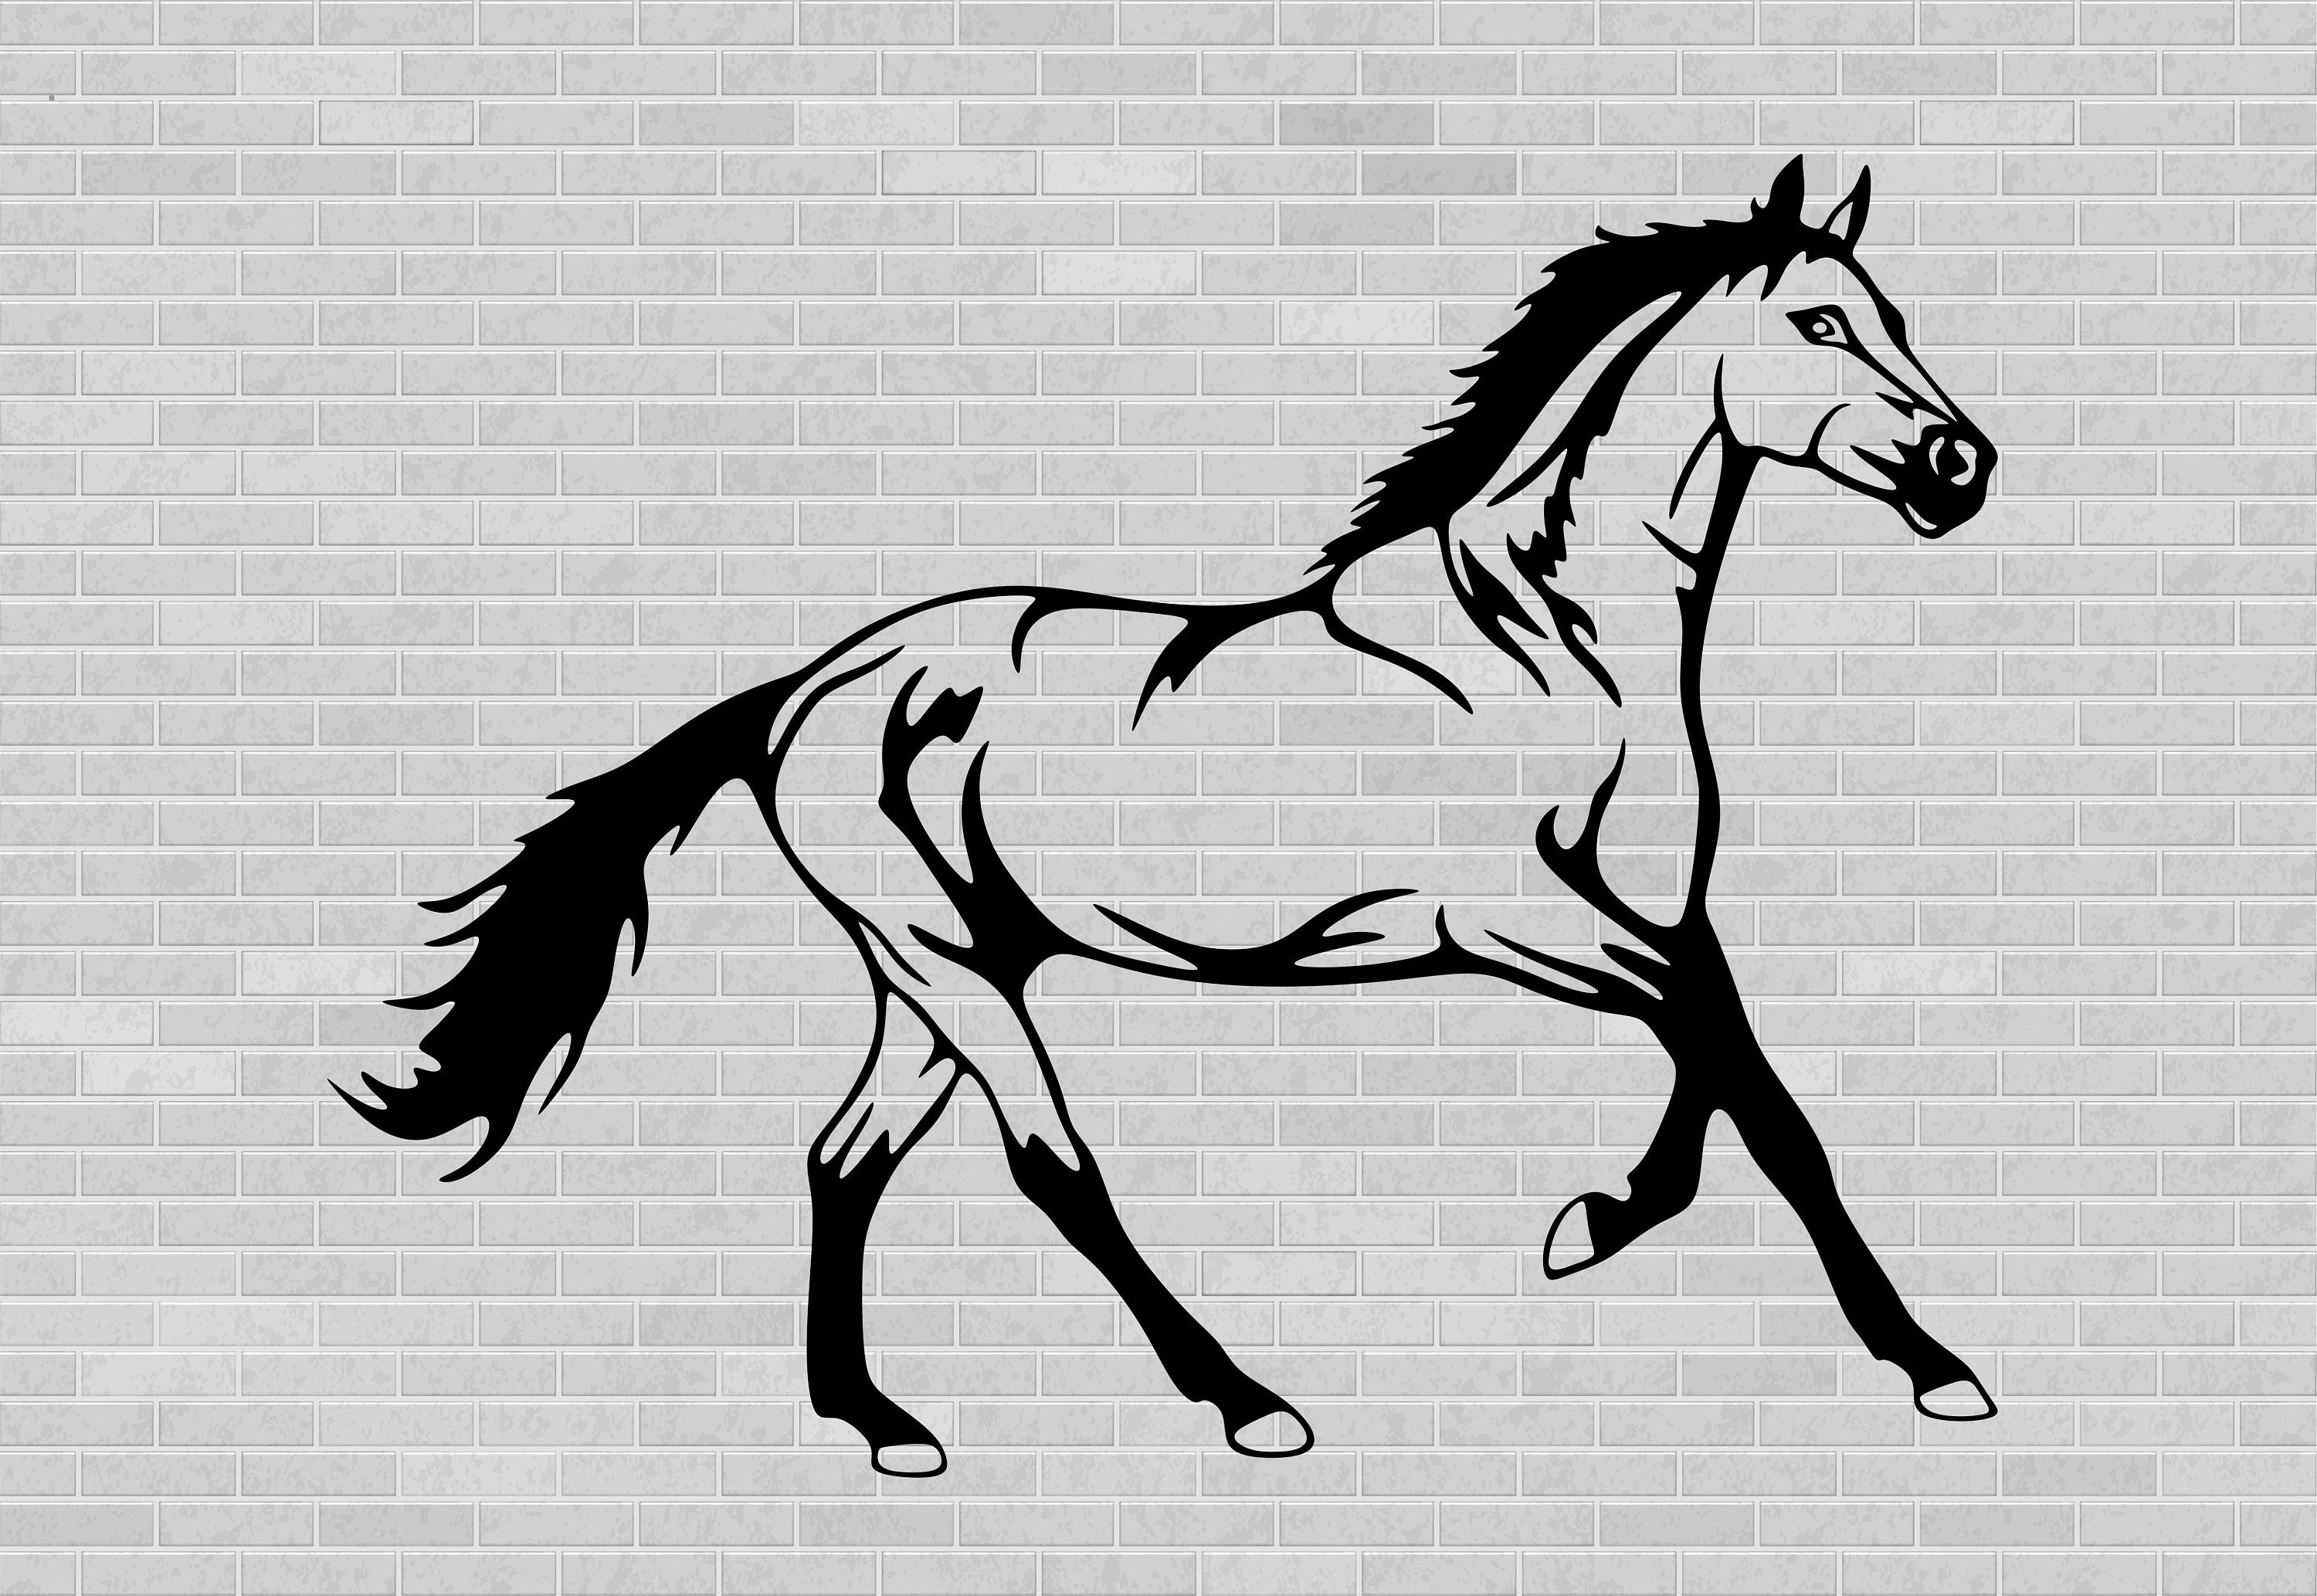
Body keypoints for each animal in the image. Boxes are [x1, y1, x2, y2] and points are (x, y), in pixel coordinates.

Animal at [338, 158, 2001, 1477]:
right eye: (1822, 324)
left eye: (1899, 317)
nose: (1962, 466)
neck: (1546, 644)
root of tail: (809, 687)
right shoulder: (1514, 921)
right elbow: (1760, 1095)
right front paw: (1932, 1367)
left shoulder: (1656, 915)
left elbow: (1732, 1085)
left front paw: (1596, 1220)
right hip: (943, 958)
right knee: (1049, 1163)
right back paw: (1247, 1400)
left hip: (946, 968)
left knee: (843, 1156)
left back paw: (879, 1422)